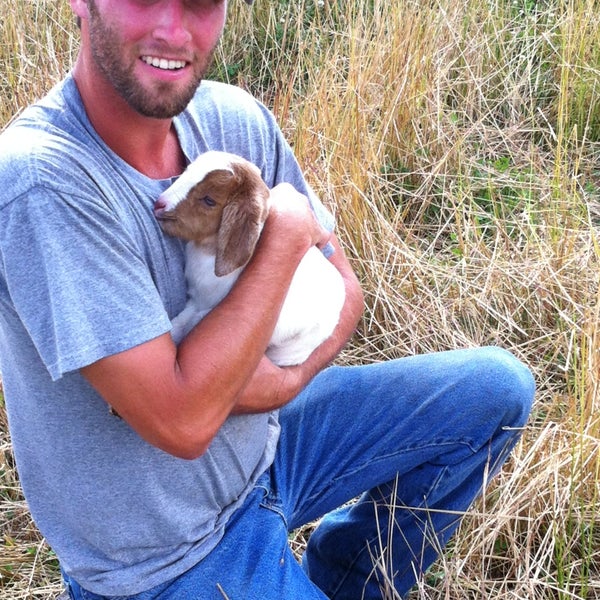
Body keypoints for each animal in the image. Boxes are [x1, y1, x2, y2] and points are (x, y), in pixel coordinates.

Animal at [152, 150, 344, 366]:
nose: (159, 204)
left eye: (209, 200)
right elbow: (180, 322)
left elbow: (190, 323)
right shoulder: (195, 301)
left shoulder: (205, 307)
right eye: (186, 171)